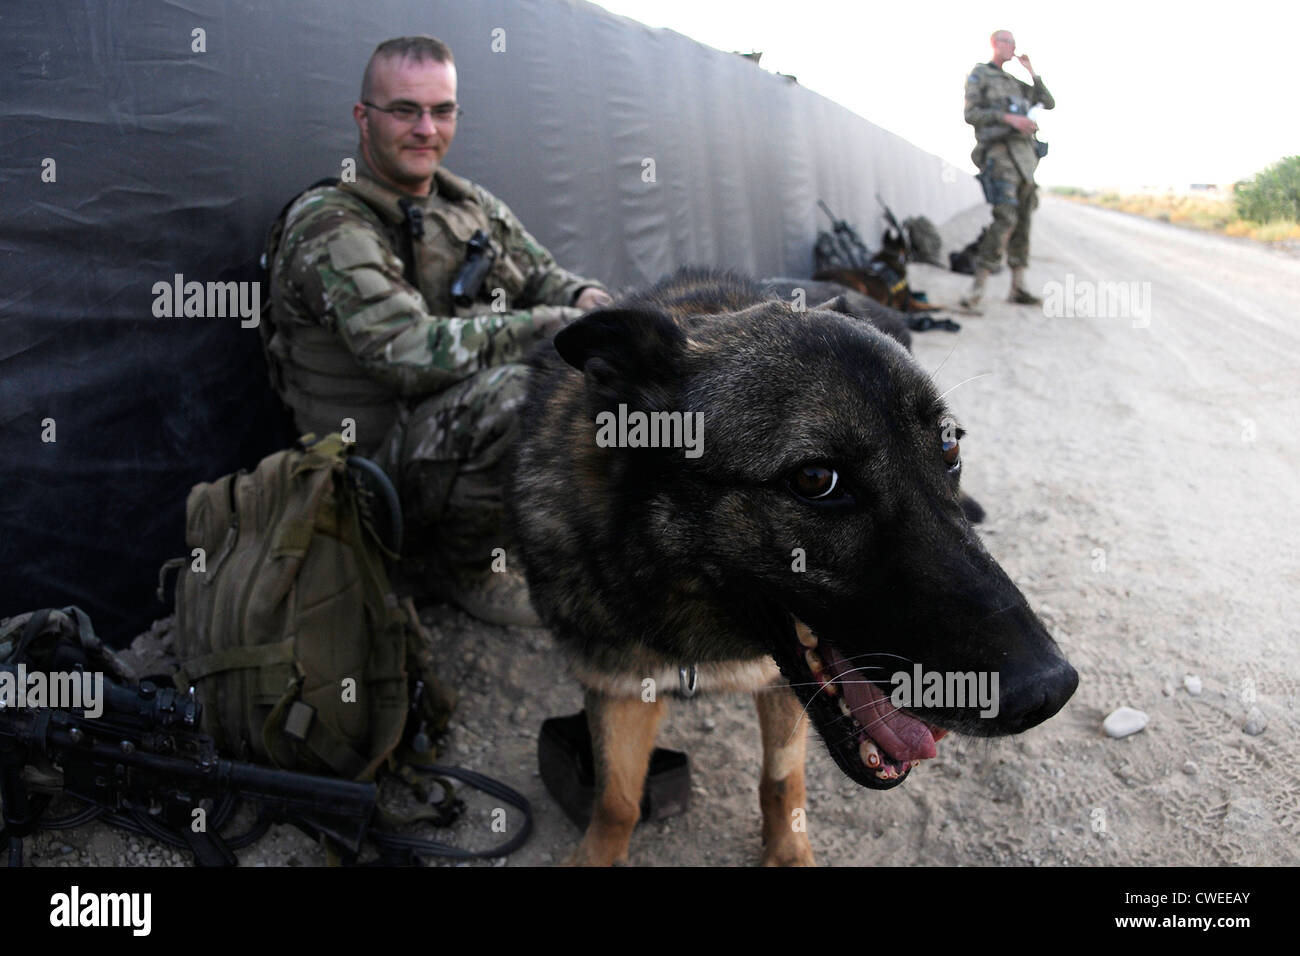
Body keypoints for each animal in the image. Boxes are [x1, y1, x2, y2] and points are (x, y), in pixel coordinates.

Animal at [506, 269, 1076, 868]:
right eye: (815, 479)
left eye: (949, 448)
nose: (1051, 691)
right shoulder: (617, 686)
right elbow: (616, 802)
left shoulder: (780, 687)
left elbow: (781, 780)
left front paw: (788, 854)